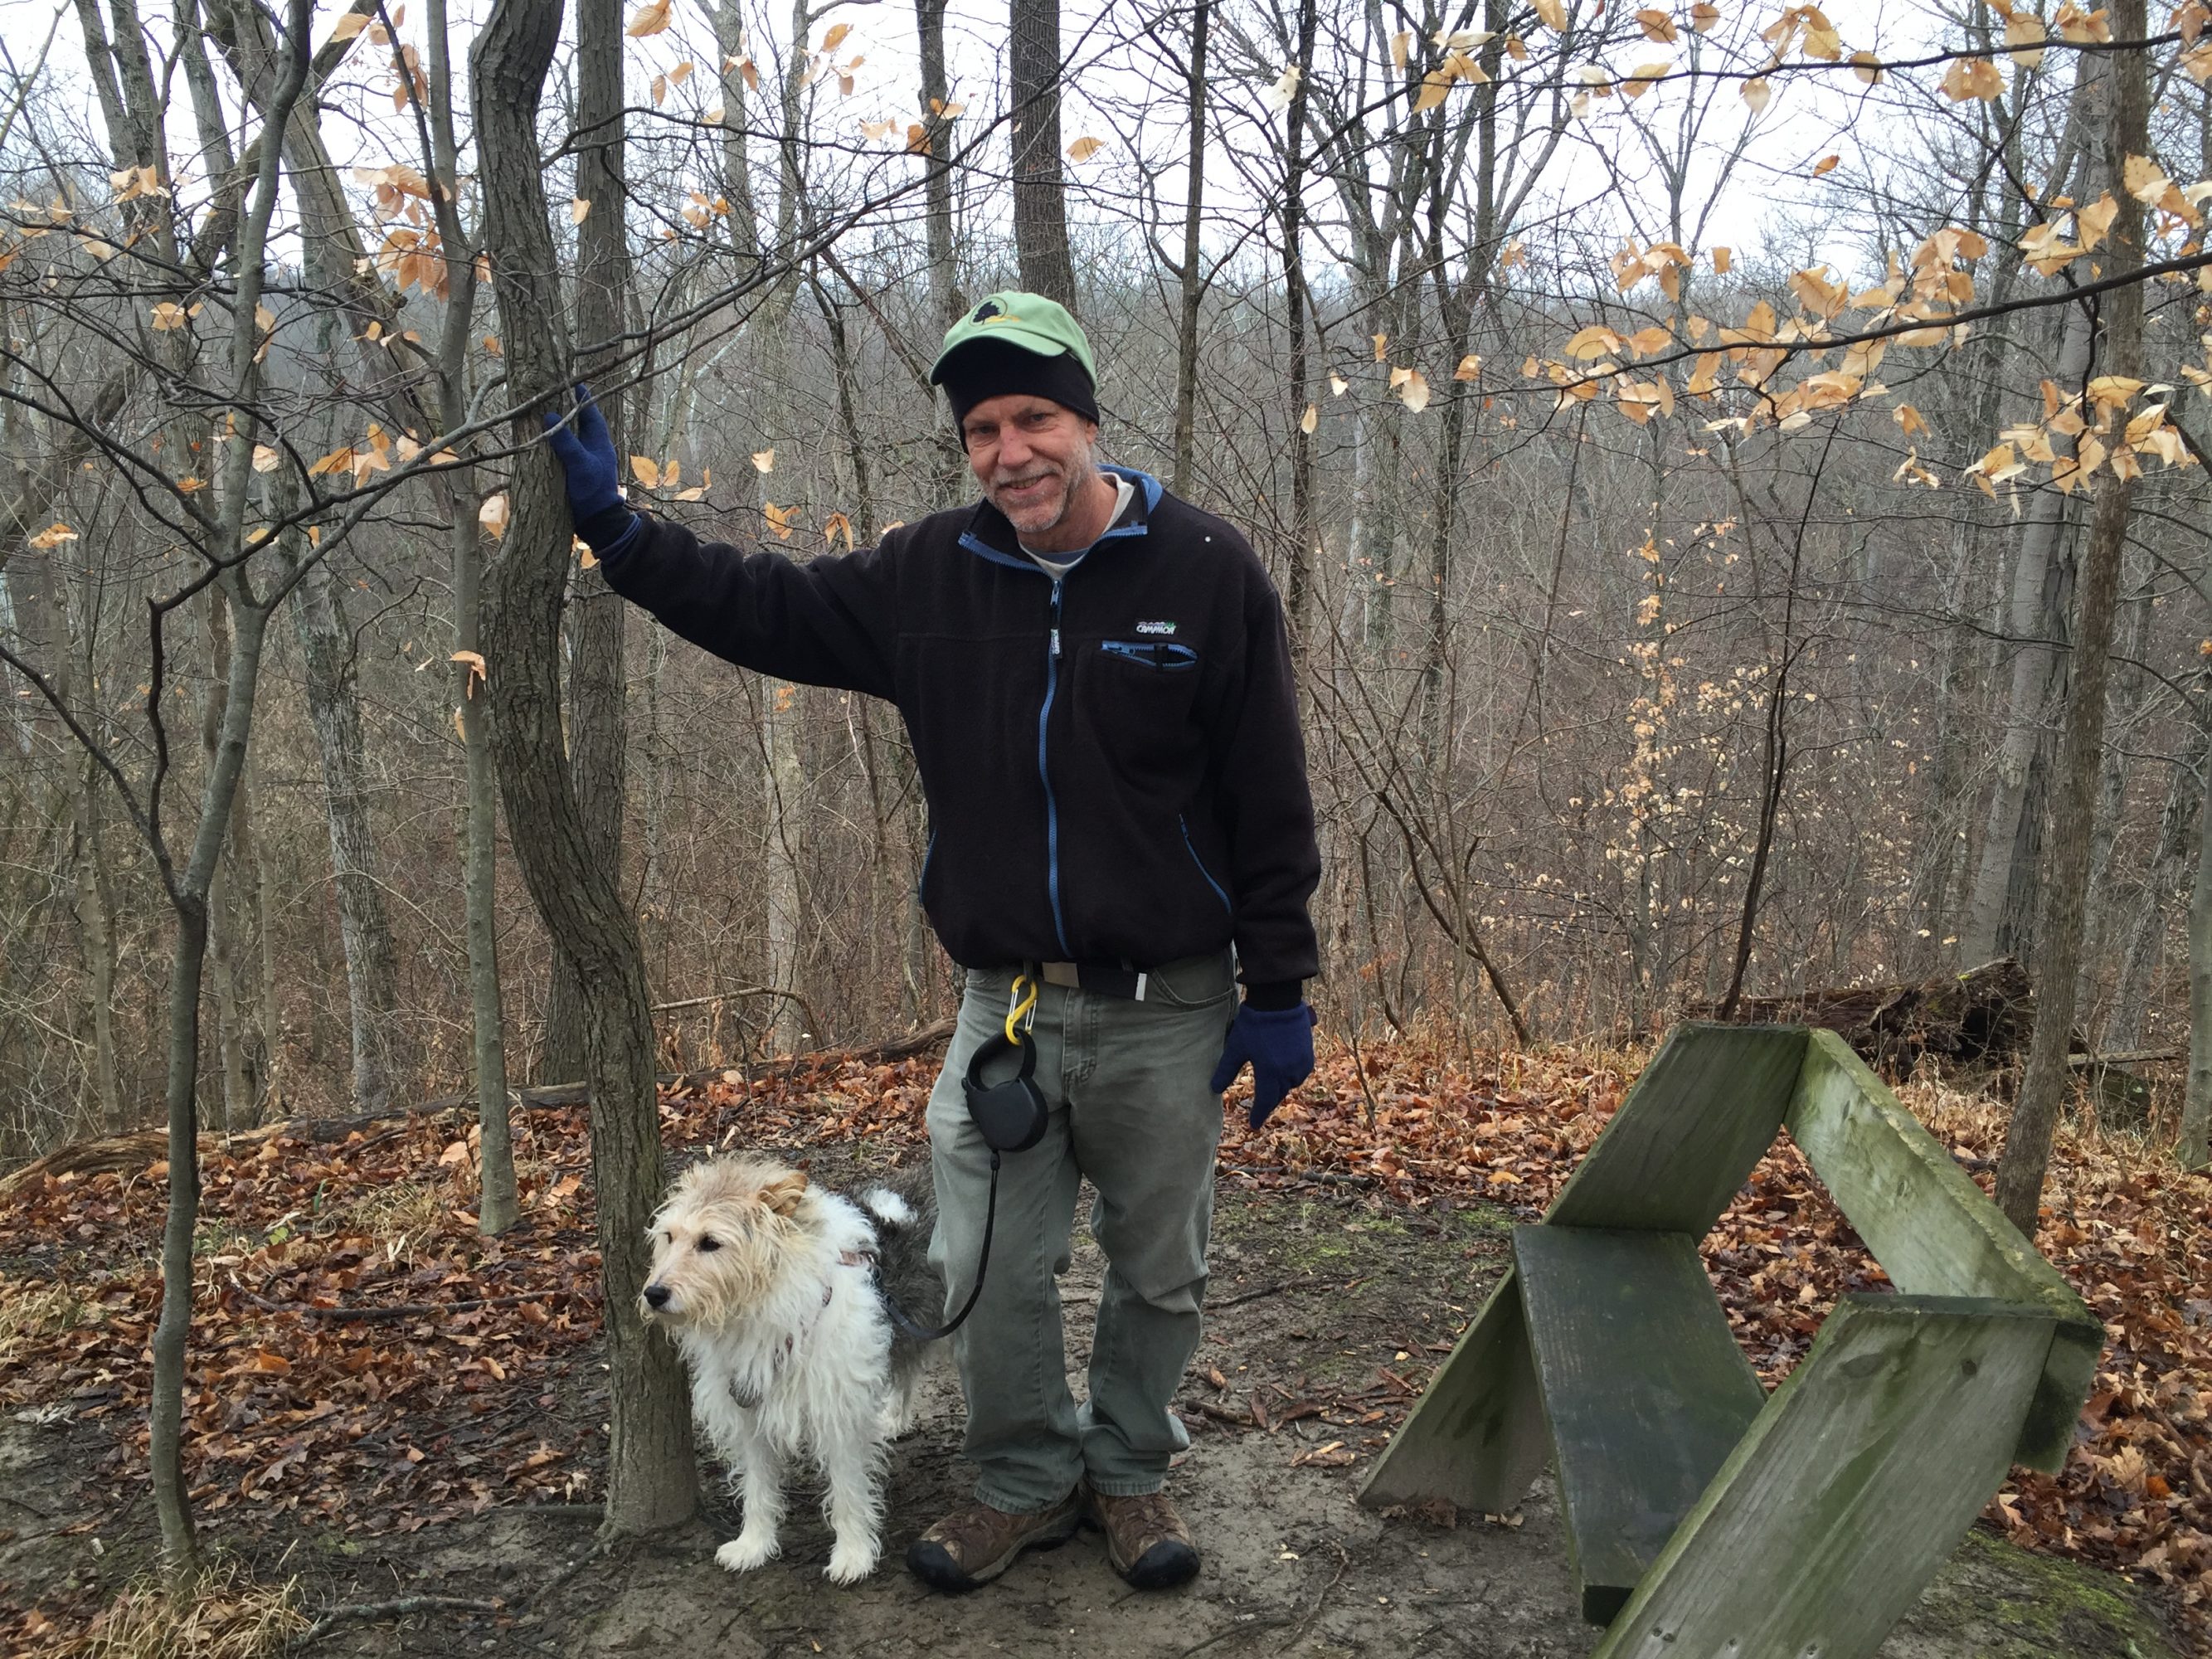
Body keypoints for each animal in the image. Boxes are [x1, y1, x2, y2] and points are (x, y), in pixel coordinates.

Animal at [639, 1155, 941, 1583]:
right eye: (669, 1236)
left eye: (710, 1242)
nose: (654, 1294)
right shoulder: (748, 1413)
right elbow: (757, 1488)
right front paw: (754, 1544)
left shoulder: (838, 1415)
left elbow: (847, 1491)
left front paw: (853, 1554)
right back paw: (895, 1418)